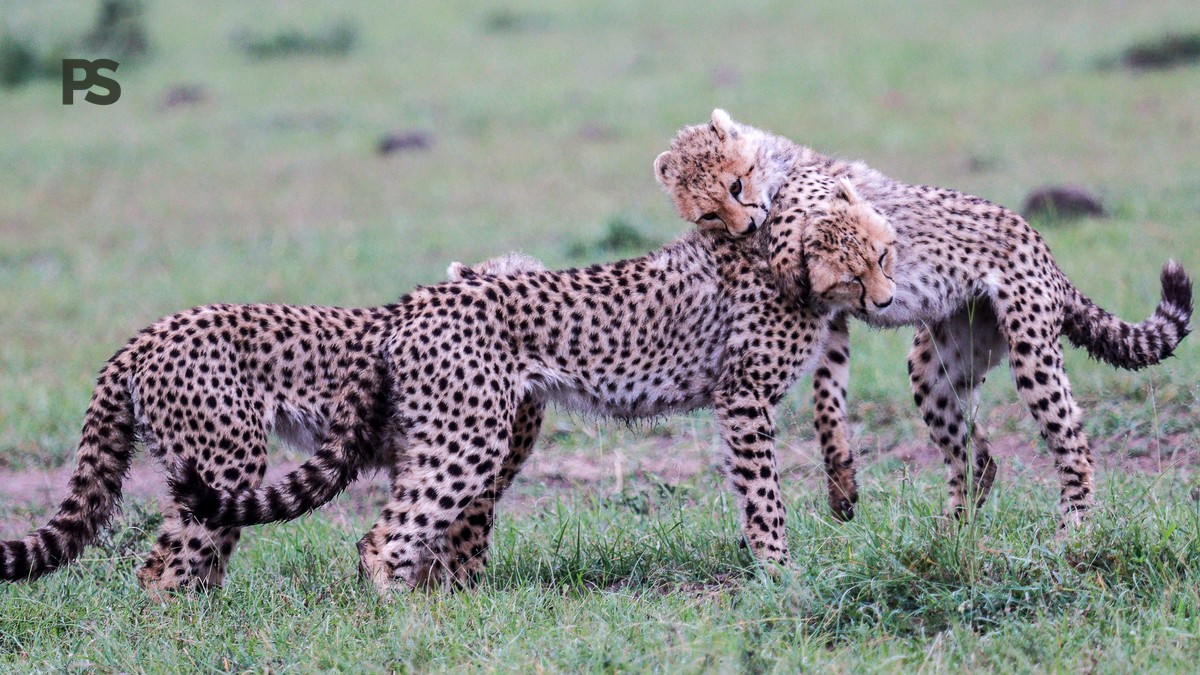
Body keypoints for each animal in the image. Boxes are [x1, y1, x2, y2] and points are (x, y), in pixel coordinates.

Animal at [5, 224, 877, 594]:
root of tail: (143, 334)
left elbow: (459, 538)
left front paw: (459, 595)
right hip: (226, 454)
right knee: (170, 561)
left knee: (202, 555)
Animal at [656, 109, 1193, 529]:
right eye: (707, 214)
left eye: (736, 184)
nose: (743, 225)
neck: (775, 163)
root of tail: (1042, 247)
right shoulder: (833, 312)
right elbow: (827, 398)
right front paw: (841, 485)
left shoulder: (825, 193)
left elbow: (796, 219)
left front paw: (785, 249)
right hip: (938, 365)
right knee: (974, 453)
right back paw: (952, 529)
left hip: (1031, 348)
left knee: (1072, 445)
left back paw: (1071, 532)